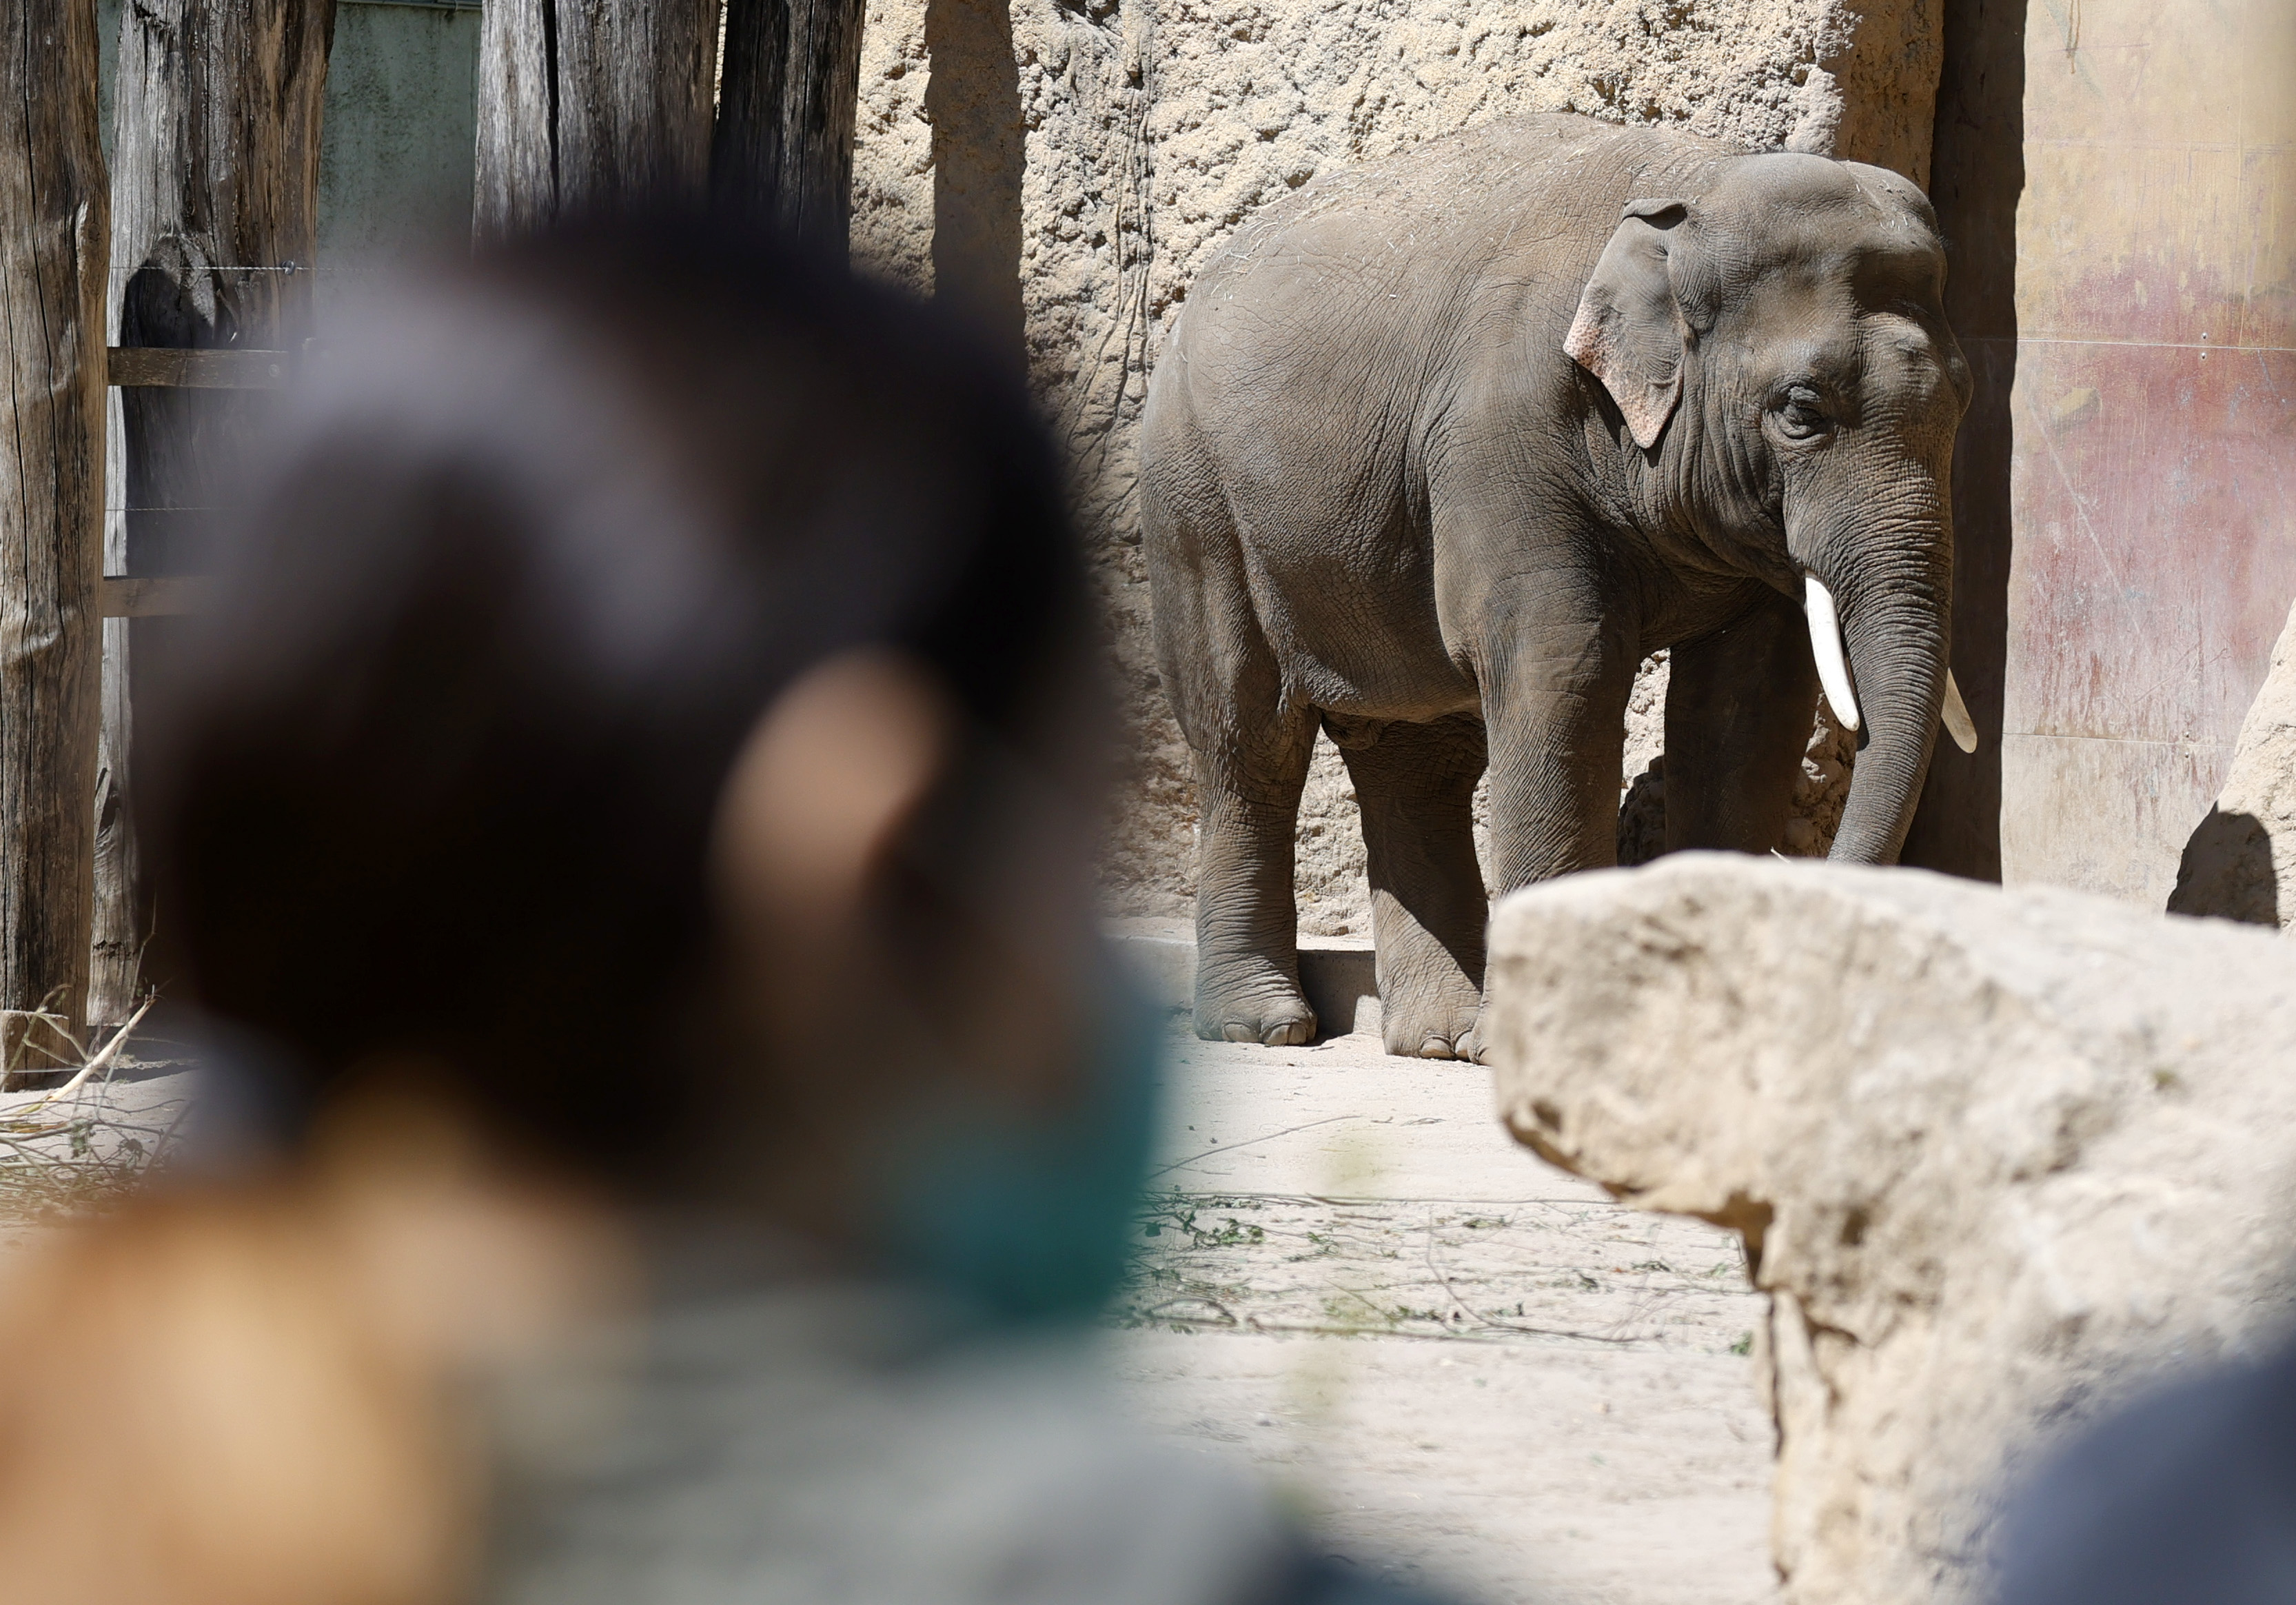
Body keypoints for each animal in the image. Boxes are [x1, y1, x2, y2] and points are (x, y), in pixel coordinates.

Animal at [1139, 116, 1983, 1065]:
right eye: (1800, 411)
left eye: (1963, 401)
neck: (1694, 184)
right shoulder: (1502, 434)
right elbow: (1563, 666)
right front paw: (1543, 1042)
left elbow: (1746, 706)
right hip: (1194, 503)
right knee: (1249, 737)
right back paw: (1266, 1029)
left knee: (1418, 756)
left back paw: (1437, 1039)